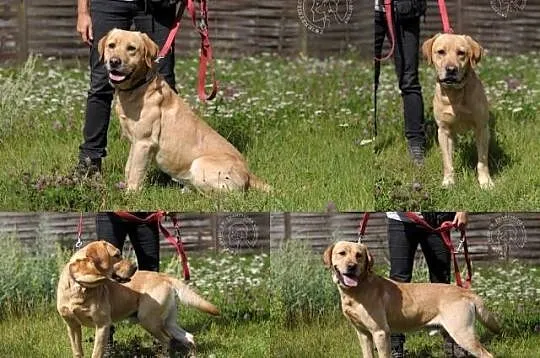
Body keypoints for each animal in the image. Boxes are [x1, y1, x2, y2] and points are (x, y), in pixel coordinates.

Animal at [57, 241, 219, 358]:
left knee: (168, 341)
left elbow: (96, 353)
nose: (135, 267)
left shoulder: (102, 325)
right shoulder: (72, 326)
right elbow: (77, 352)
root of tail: (164, 276)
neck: (80, 285)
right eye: (117, 255)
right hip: (168, 322)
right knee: (188, 337)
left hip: (148, 320)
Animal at [97, 28, 270, 193]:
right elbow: (129, 167)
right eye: (111, 45)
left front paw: (131, 193)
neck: (139, 86)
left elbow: (136, 171)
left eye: (131, 48)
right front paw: (125, 186)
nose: (114, 62)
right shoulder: (135, 141)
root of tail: (248, 173)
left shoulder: (144, 142)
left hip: (199, 164)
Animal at [322, 241, 500, 358]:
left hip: (462, 332)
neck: (356, 290)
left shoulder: (380, 332)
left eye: (359, 255)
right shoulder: (363, 333)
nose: (352, 266)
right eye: (342, 253)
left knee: (488, 355)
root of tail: (465, 291)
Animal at [422, 33, 494, 189]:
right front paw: (448, 181)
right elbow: (447, 161)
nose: (451, 69)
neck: (455, 95)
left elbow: (482, 161)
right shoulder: (444, 130)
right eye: (441, 52)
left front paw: (485, 182)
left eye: (461, 53)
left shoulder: (481, 128)